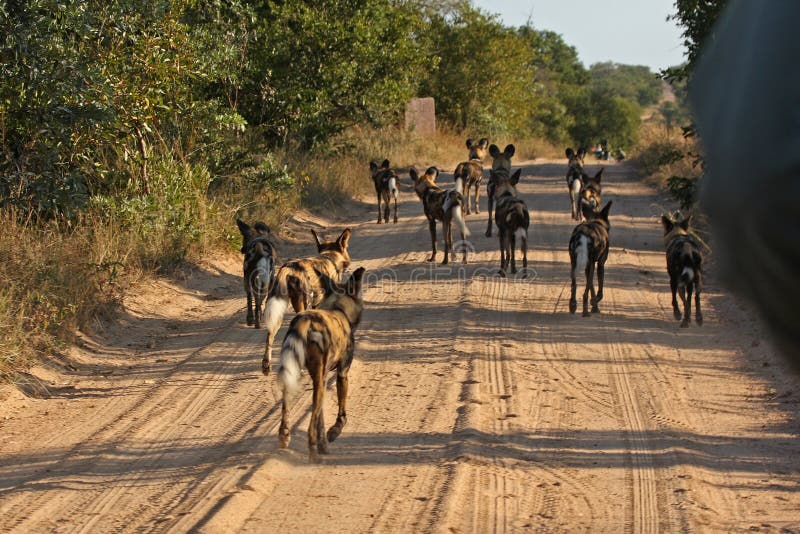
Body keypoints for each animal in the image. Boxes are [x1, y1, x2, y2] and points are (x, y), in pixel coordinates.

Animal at [260, 228, 352, 374]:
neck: (330, 258)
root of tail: (288, 268)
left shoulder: (316, 306)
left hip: (276, 310)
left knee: (270, 335)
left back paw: (266, 366)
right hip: (302, 306)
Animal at [276, 268, 368, 464]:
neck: (337, 308)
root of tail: (306, 320)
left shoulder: (322, 379)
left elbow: (320, 419)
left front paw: (323, 445)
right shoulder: (341, 373)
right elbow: (341, 415)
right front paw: (334, 432)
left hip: (297, 374)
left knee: (287, 403)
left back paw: (284, 436)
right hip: (319, 379)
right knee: (310, 428)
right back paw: (313, 456)